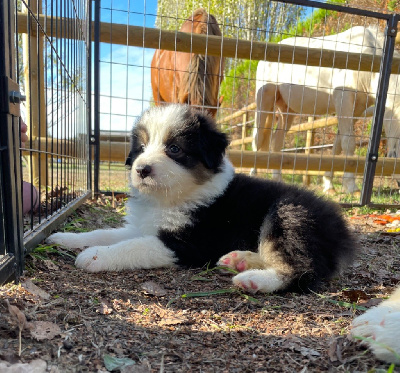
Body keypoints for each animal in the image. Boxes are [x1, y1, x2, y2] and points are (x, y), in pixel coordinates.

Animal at [47, 103, 356, 292]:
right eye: (141, 148)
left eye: (174, 149)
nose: (141, 170)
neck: (171, 198)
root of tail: (341, 230)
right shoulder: (140, 226)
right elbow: (105, 233)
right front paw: (66, 238)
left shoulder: (189, 243)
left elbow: (135, 246)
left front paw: (96, 256)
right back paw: (240, 260)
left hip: (288, 215)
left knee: (303, 271)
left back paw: (254, 279)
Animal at [253, 25, 400, 193]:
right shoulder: (343, 101)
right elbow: (348, 143)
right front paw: (351, 186)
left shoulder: (356, 110)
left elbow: (337, 146)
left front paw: (329, 184)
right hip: (264, 101)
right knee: (257, 139)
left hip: (287, 111)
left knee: (276, 143)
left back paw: (278, 179)